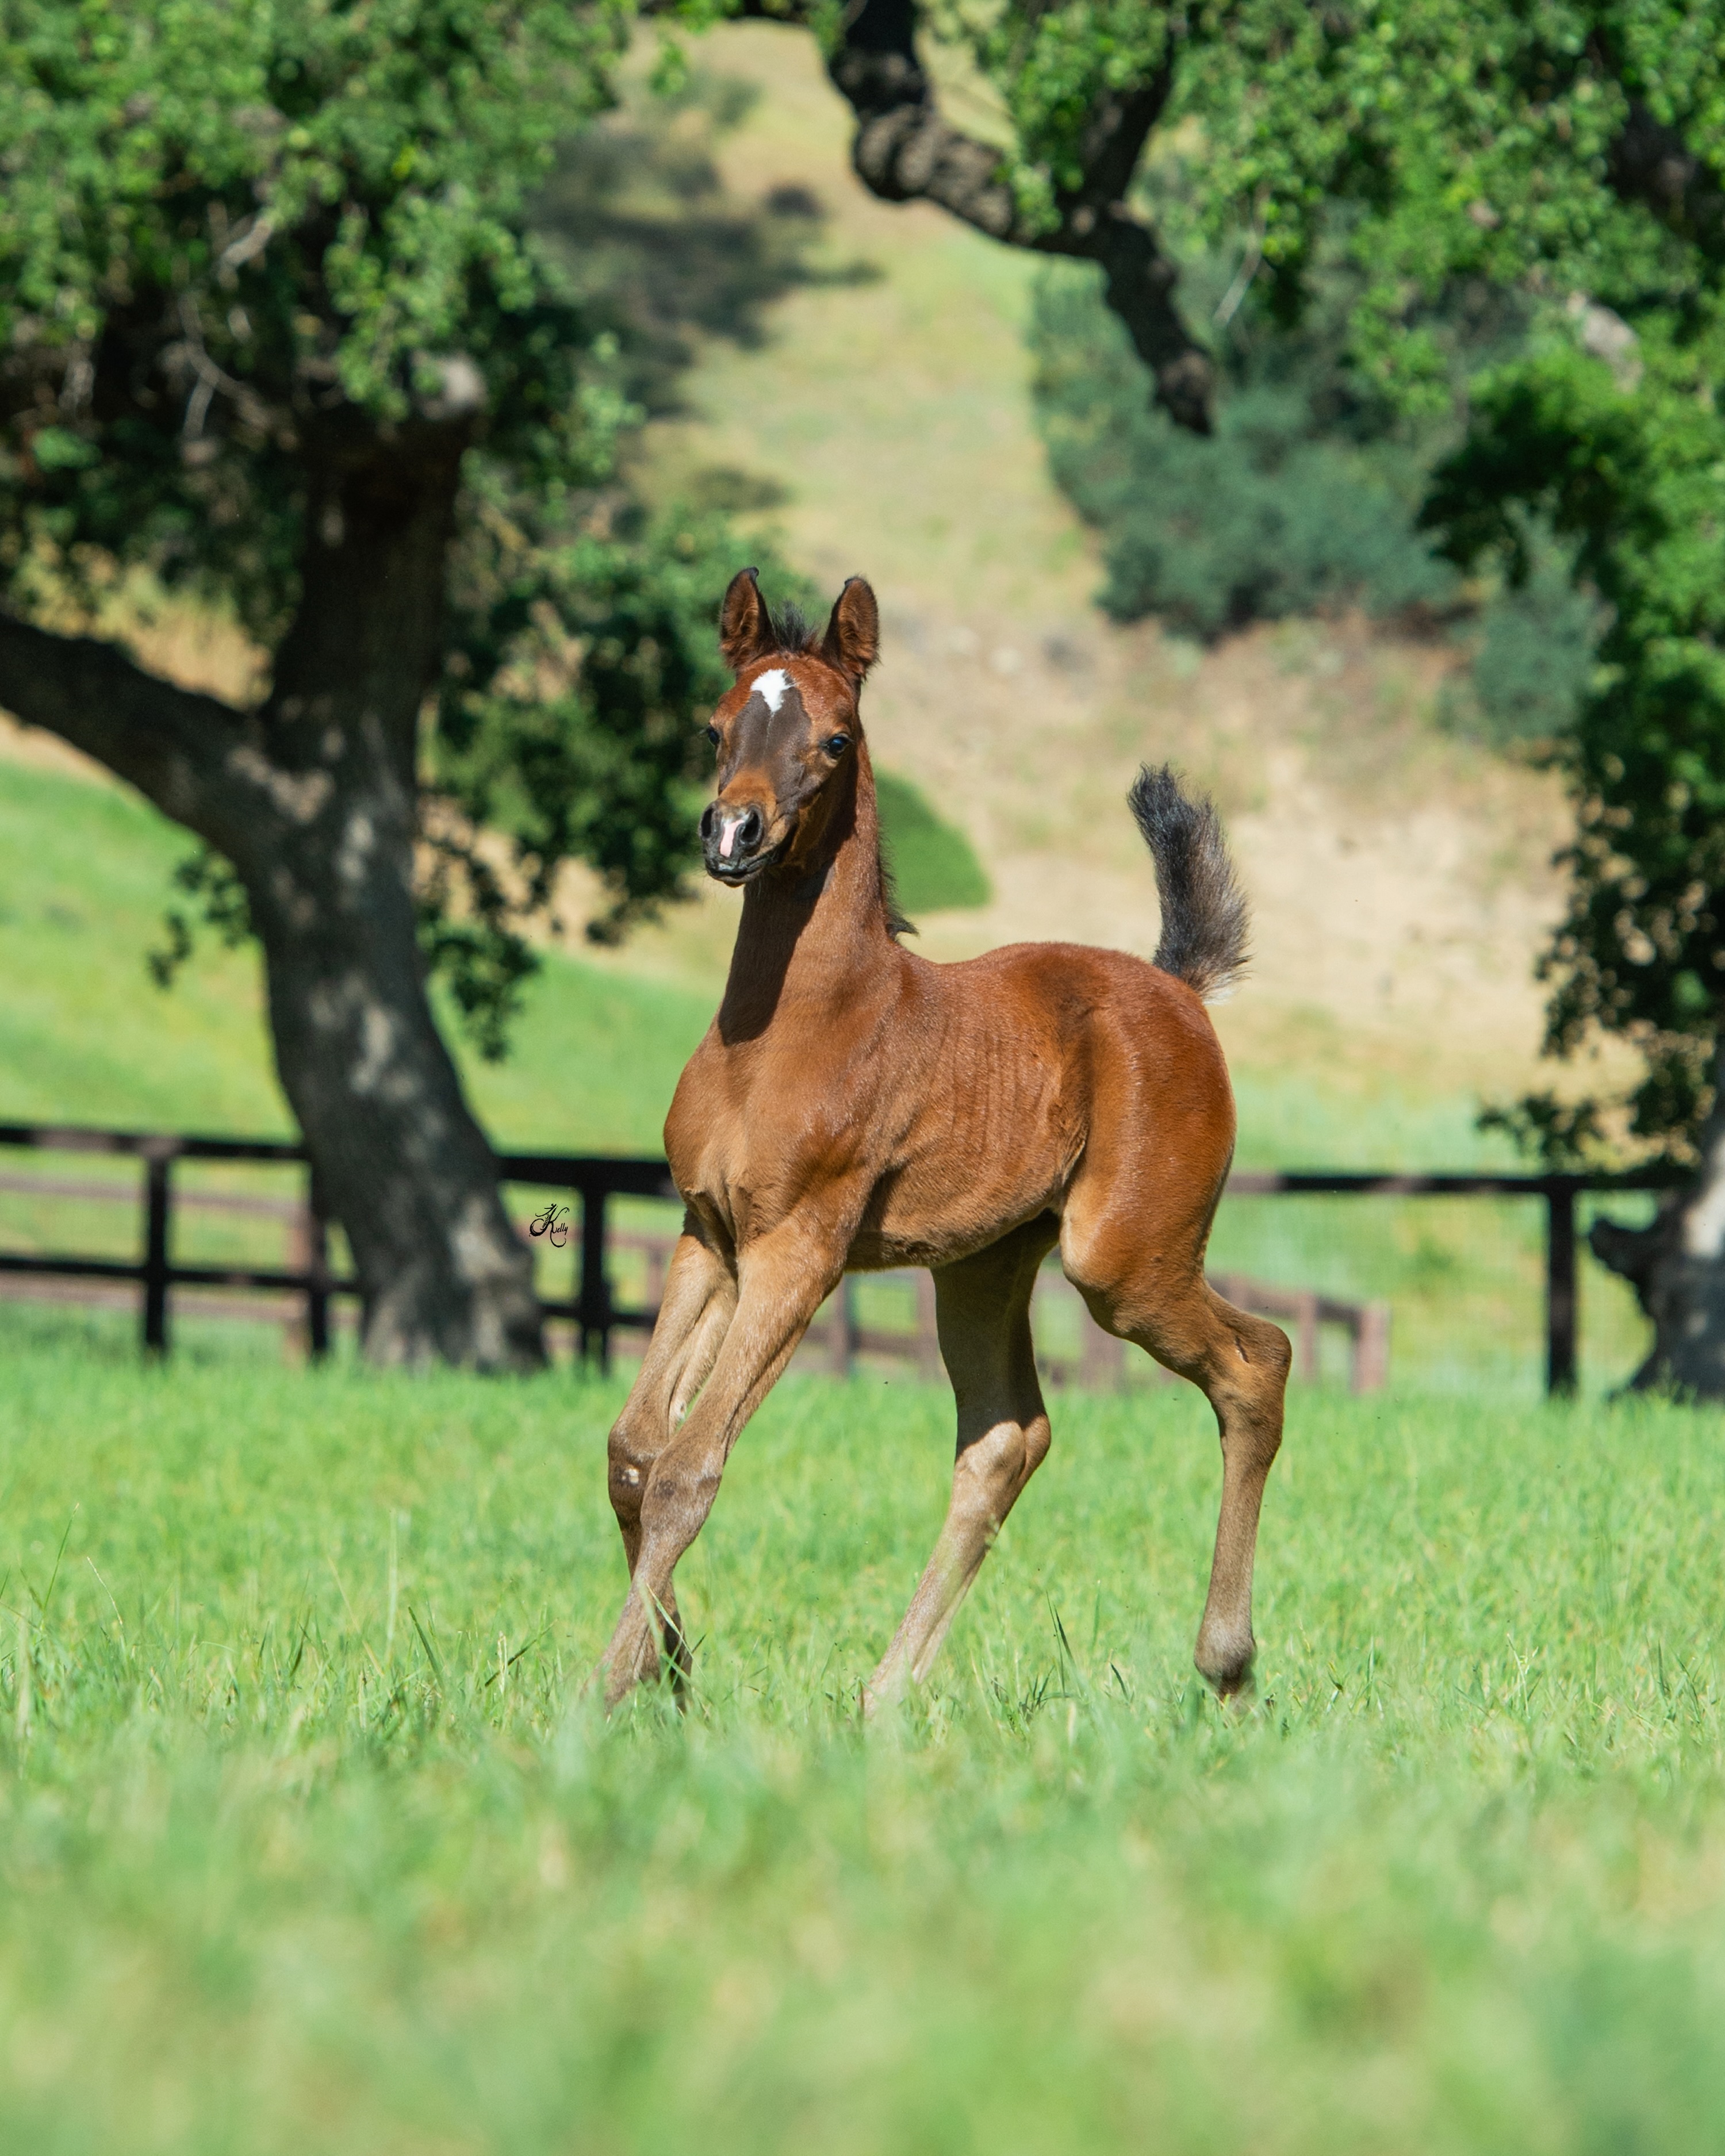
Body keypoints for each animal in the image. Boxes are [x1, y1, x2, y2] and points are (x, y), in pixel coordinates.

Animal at [598, 568, 1290, 1712]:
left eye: (835, 738)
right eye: (716, 724)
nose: (732, 834)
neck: (799, 1026)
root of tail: (1180, 989)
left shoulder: (801, 1251)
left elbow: (693, 1466)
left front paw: (604, 1694)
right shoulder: (711, 1236)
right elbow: (635, 1450)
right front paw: (674, 1670)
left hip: (1124, 1261)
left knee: (1258, 1362)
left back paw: (1227, 1664)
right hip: (982, 1265)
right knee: (1007, 1438)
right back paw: (886, 1697)